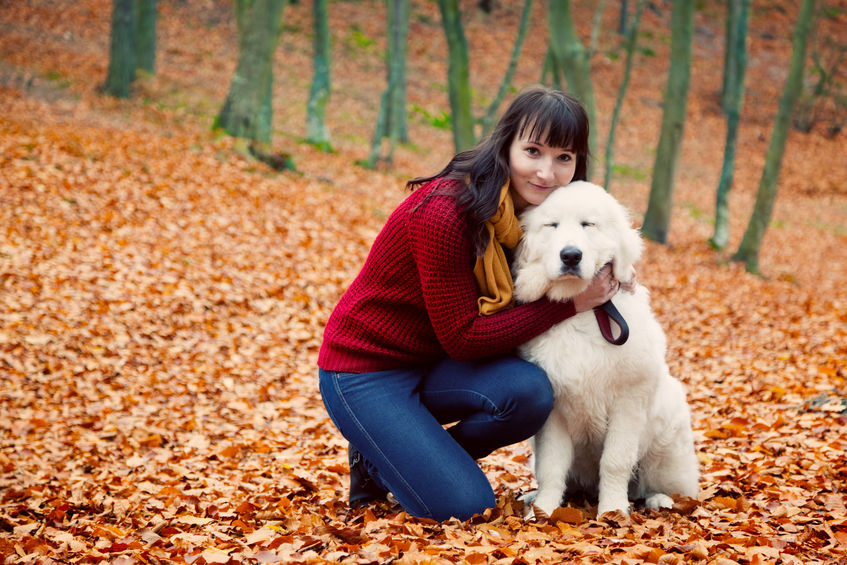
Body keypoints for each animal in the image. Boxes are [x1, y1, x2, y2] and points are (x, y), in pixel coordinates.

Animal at [512, 181, 700, 516]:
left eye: (588, 224)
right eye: (552, 225)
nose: (570, 256)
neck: (581, 312)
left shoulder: (628, 401)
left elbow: (615, 461)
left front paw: (612, 510)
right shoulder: (554, 410)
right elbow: (551, 466)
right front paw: (545, 510)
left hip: (667, 439)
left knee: (668, 486)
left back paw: (660, 499)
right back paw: (533, 497)